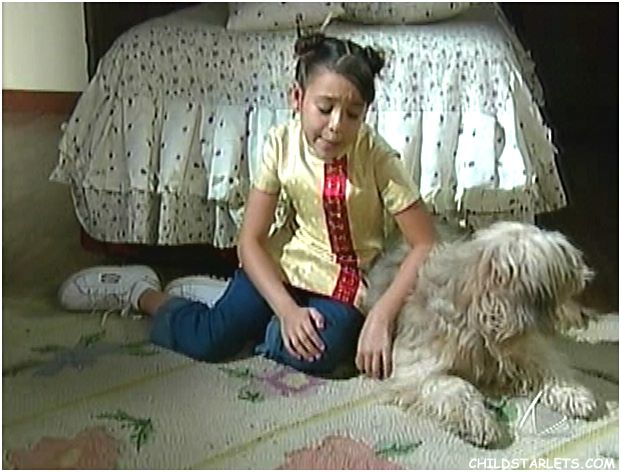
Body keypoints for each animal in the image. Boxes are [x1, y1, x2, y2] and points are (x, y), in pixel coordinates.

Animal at [366, 221, 599, 447]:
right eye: (565, 259)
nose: (587, 274)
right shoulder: (417, 371)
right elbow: (457, 386)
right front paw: (478, 422)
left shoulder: (526, 348)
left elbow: (550, 367)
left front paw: (574, 394)